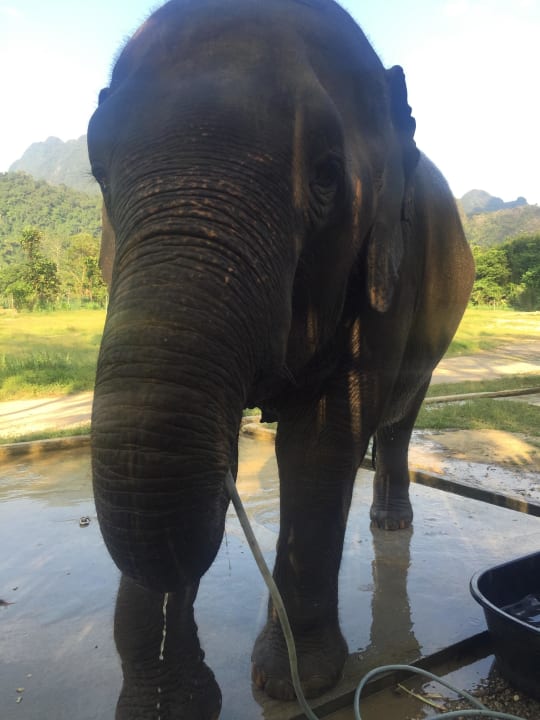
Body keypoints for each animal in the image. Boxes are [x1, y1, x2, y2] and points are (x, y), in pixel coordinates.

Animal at [88, 0, 474, 717]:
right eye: (99, 172)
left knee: (400, 414)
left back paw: (389, 521)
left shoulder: (388, 265)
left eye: (325, 175)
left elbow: (324, 436)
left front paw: (296, 682)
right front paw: (164, 697)